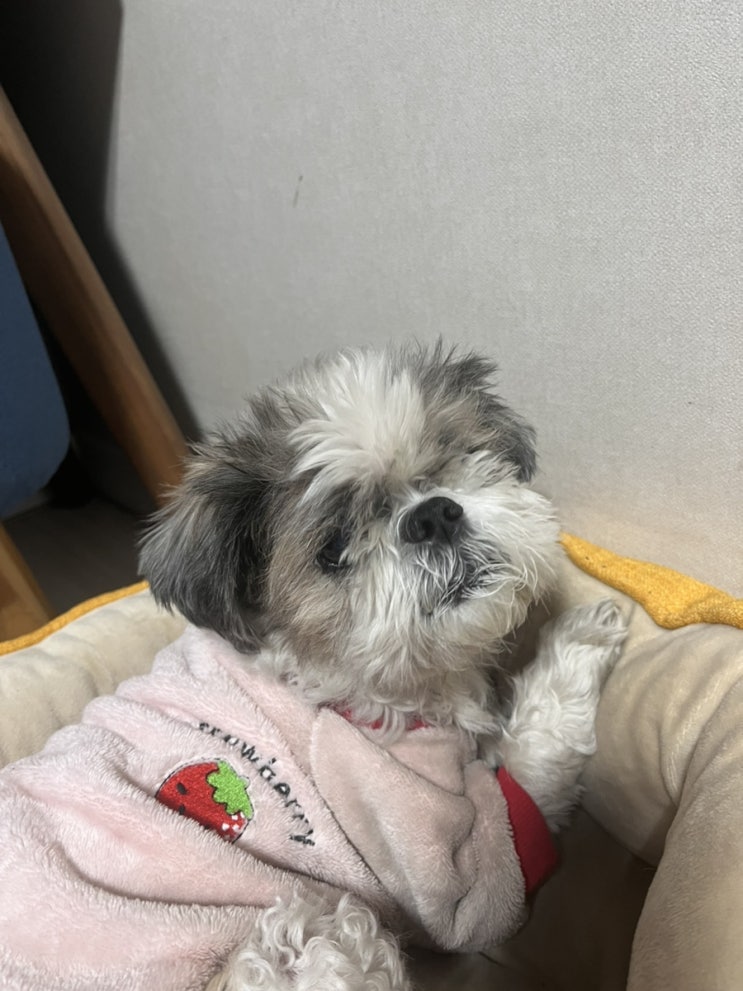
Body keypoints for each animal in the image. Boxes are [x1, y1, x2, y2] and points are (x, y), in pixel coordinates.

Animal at [0, 342, 626, 991]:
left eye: (452, 460)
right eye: (334, 549)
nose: (432, 515)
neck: (349, 686)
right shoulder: (434, 851)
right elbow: (528, 780)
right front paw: (577, 644)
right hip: (321, 932)